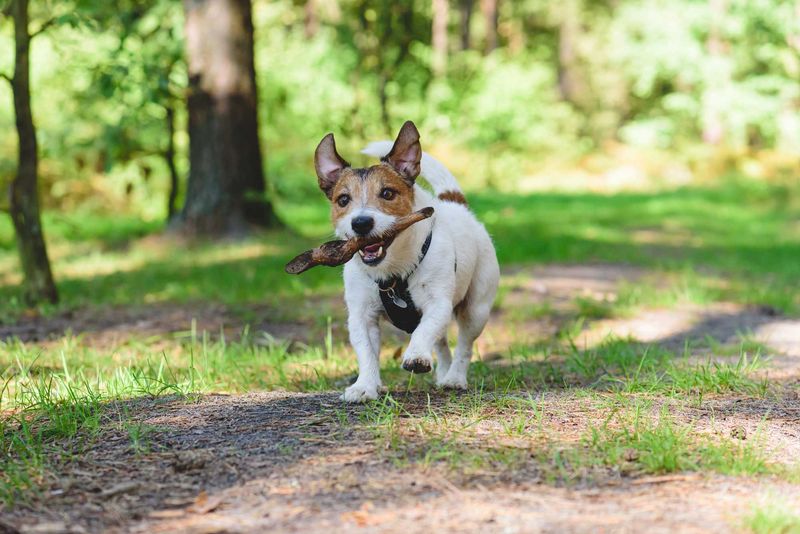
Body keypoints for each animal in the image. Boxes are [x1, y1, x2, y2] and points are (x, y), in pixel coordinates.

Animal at [314, 121, 496, 404]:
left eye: (387, 193)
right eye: (343, 200)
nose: (361, 223)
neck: (392, 274)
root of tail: (458, 206)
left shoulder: (438, 304)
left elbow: (424, 332)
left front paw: (416, 355)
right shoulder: (361, 315)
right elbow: (366, 353)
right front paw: (365, 385)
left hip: (476, 308)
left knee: (464, 345)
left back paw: (454, 378)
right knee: (441, 343)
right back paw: (443, 372)